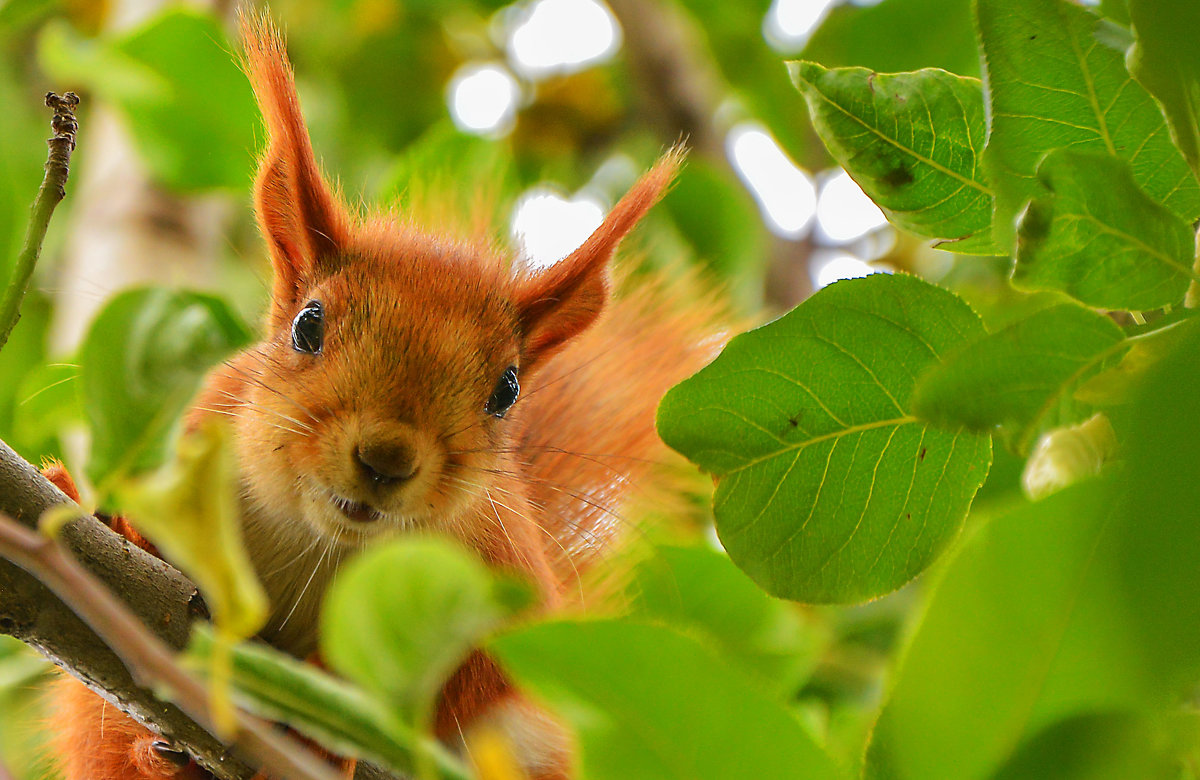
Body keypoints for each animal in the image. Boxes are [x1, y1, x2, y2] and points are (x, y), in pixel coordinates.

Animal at [46, 12, 715, 777]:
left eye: (507, 390)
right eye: (307, 326)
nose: (387, 458)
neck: (317, 541)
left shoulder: (501, 577)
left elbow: (476, 674)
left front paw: (324, 711)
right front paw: (101, 509)